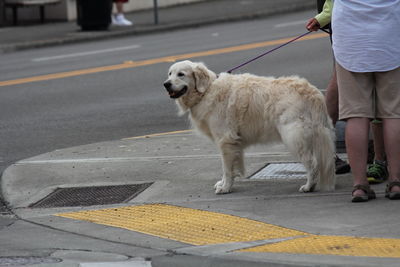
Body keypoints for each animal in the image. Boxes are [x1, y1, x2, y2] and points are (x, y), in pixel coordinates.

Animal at [162, 60, 334, 195]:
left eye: (181, 74)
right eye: (170, 74)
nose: (166, 84)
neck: (207, 90)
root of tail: (313, 92)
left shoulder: (225, 141)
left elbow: (226, 168)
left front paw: (225, 188)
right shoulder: (232, 143)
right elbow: (229, 168)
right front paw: (223, 183)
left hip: (294, 137)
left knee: (313, 163)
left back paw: (309, 186)